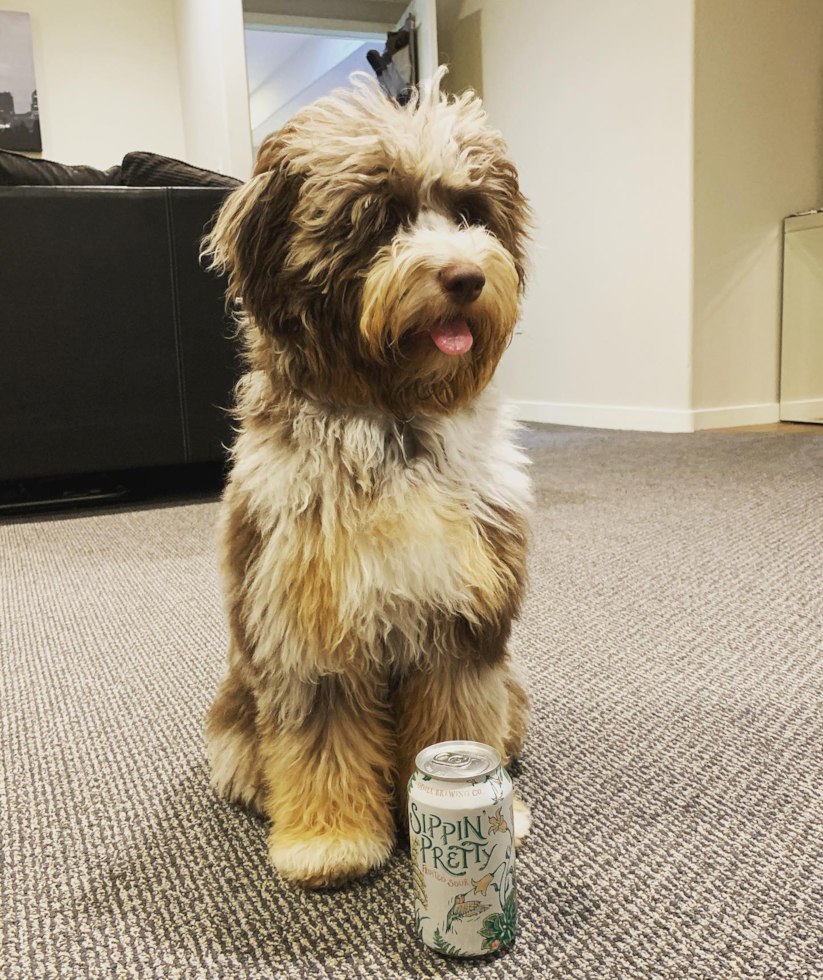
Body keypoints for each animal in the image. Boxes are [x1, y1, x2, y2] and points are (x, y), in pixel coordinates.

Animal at [203, 71, 532, 888]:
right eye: (380, 217)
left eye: (470, 212)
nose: (466, 275)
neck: (395, 421)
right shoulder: (307, 624)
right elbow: (320, 740)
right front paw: (331, 840)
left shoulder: (462, 626)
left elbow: (457, 725)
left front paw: (487, 813)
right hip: (234, 712)